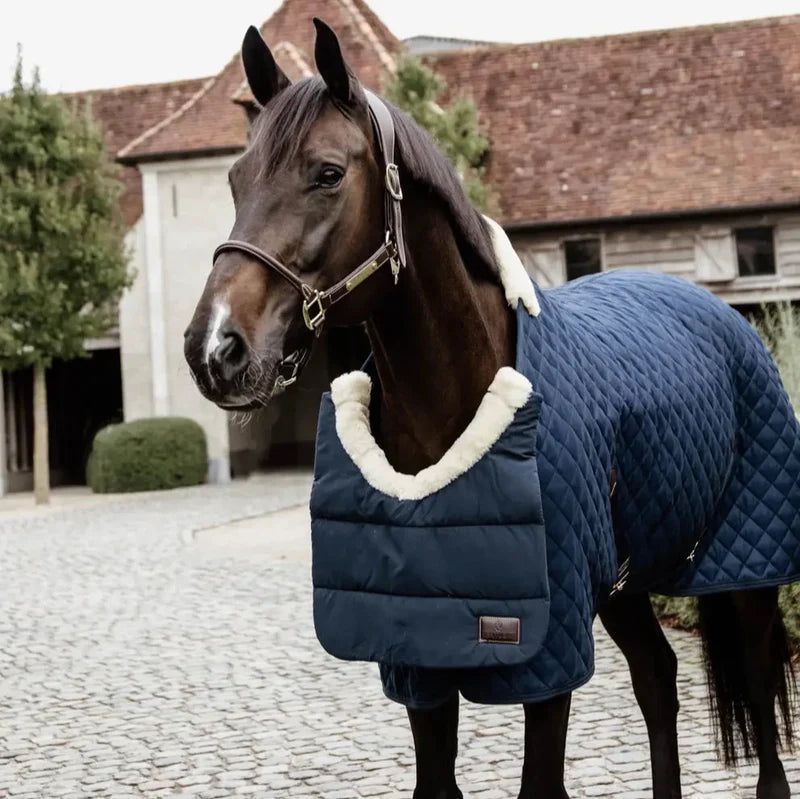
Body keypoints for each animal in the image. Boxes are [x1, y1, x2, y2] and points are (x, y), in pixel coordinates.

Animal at [183, 19, 798, 799]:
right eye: (235, 180)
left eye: (326, 173)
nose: (215, 348)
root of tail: (722, 317)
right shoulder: (420, 657)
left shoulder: (545, 656)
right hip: (620, 582)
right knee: (658, 679)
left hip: (743, 569)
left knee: (757, 697)